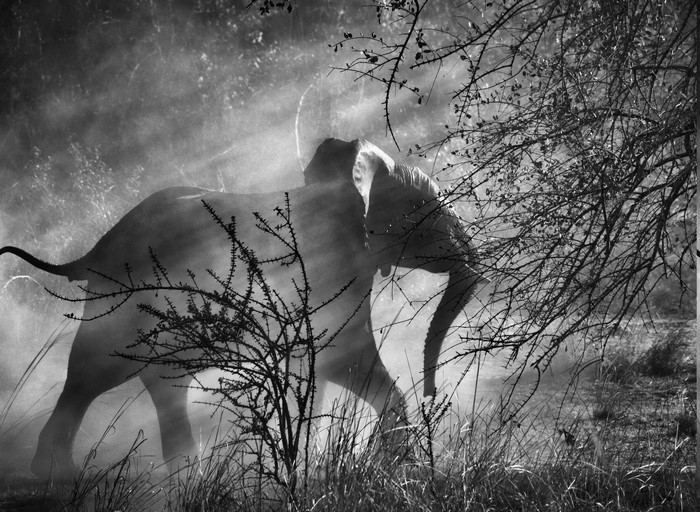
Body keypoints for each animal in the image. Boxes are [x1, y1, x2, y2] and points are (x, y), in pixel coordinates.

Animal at [0, 138, 483, 479]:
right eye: (427, 210)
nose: (433, 392)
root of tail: (93, 249)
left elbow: (316, 369)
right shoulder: (329, 269)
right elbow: (341, 358)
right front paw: (402, 468)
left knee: (156, 381)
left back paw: (178, 476)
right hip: (123, 297)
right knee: (94, 370)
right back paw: (61, 474)